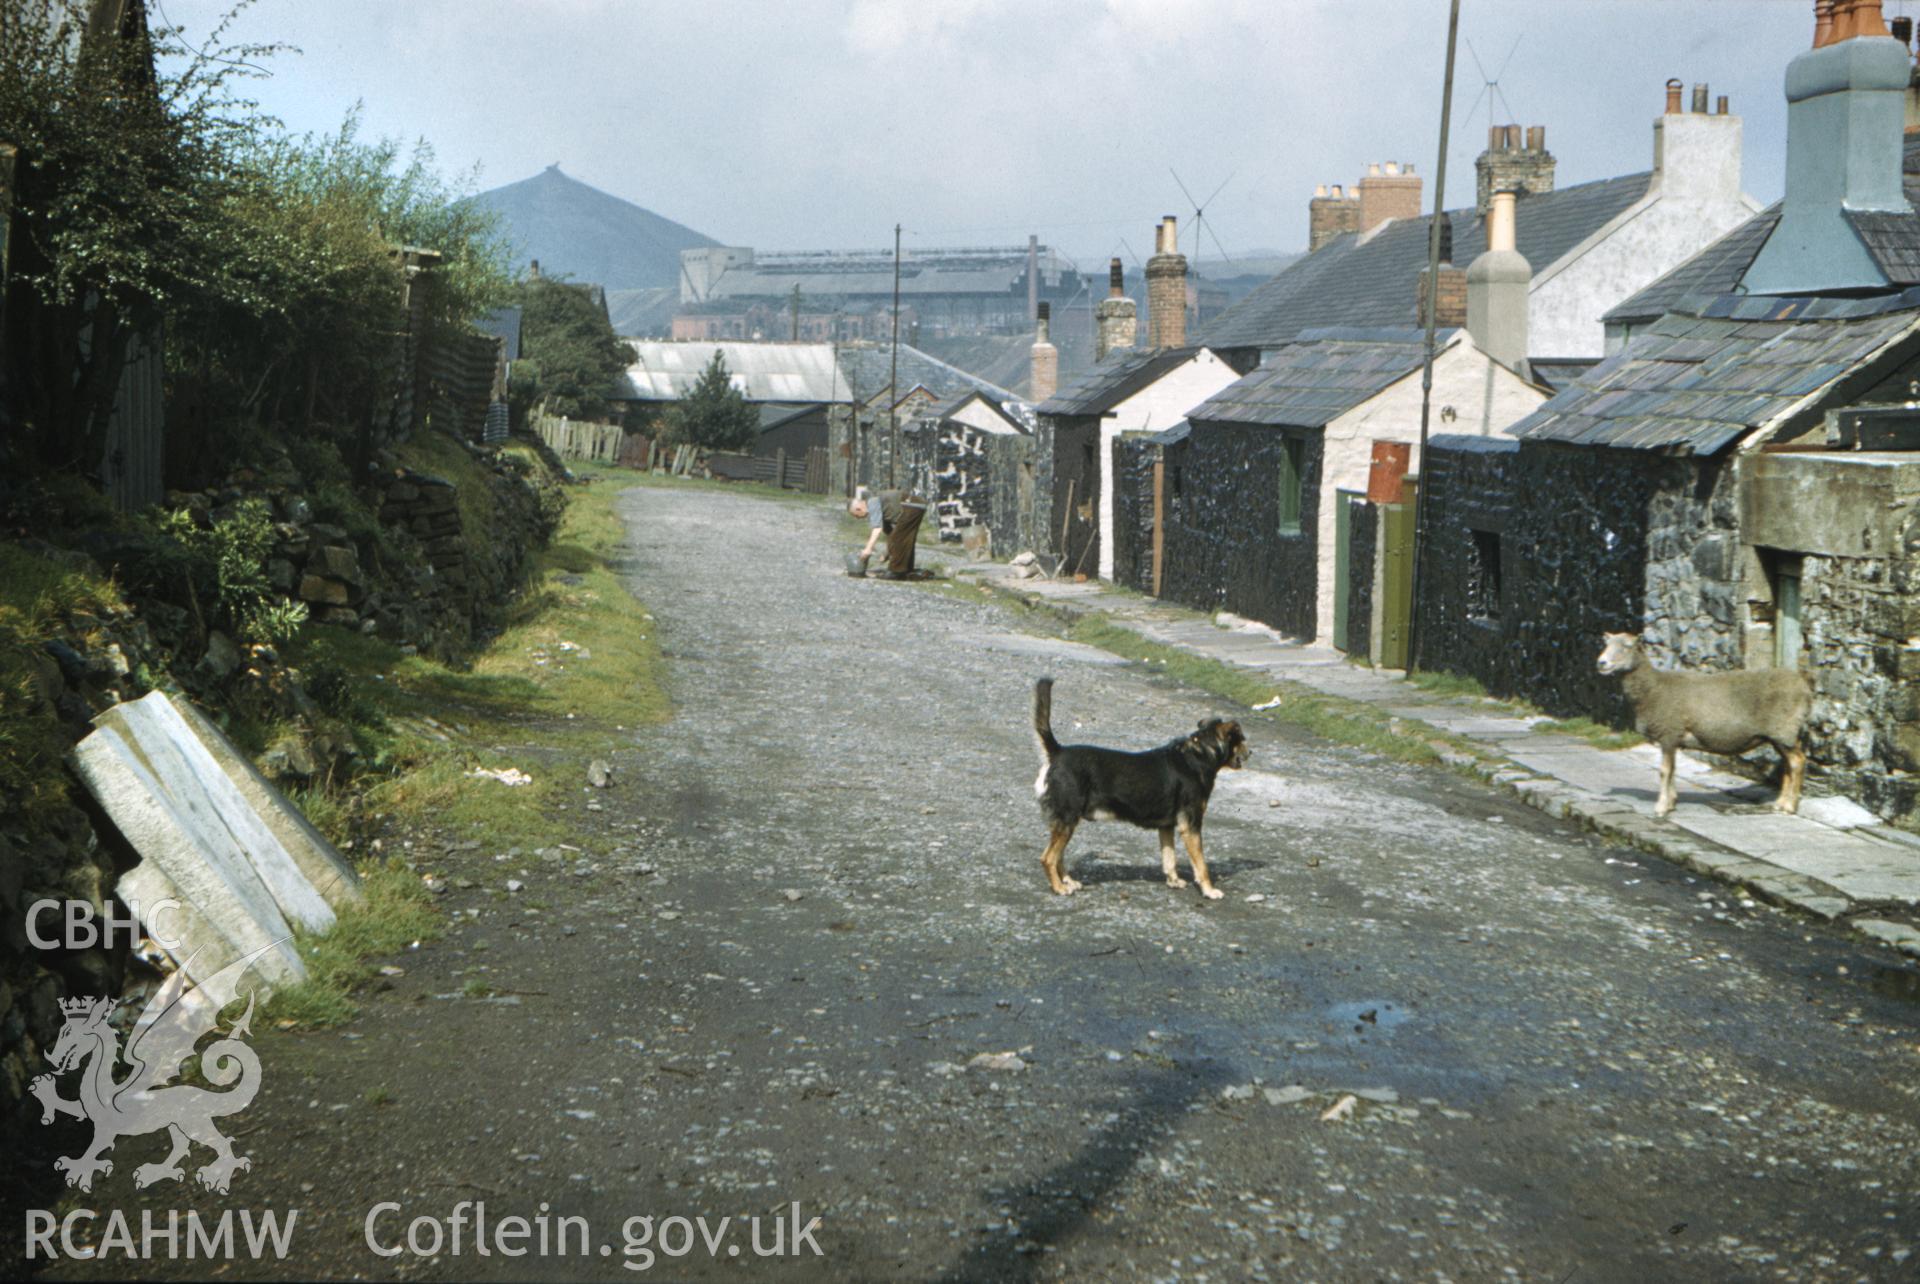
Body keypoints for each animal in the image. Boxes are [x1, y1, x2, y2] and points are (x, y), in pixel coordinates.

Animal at [1029, 675, 1251, 898]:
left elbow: (1169, 858)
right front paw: (1209, 890)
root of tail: (1056, 753)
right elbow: (1201, 865)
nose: (1251, 753)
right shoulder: (1191, 826)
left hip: (1065, 821)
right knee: (1048, 858)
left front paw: (1174, 881)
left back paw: (1067, 881)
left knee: (1058, 856)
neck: (1200, 754)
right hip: (1067, 819)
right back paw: (1059, 888)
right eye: (1241, 739)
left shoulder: (1167, 826)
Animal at [1597, 633, 1804, 821]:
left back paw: (1789, 807)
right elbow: (1673, 770)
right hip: (1780, 736)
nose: (1601, 663)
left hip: (1784, 730)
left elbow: (1664, 771)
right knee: (1788, 765)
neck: (1653, 688)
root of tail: (1804, 686)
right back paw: (1780, 804)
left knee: (1797, 762)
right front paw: (1671, 802)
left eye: (1627, 646)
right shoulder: (1674, 738)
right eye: (1606, 644)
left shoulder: (1669, 733)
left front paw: (1661, 808)